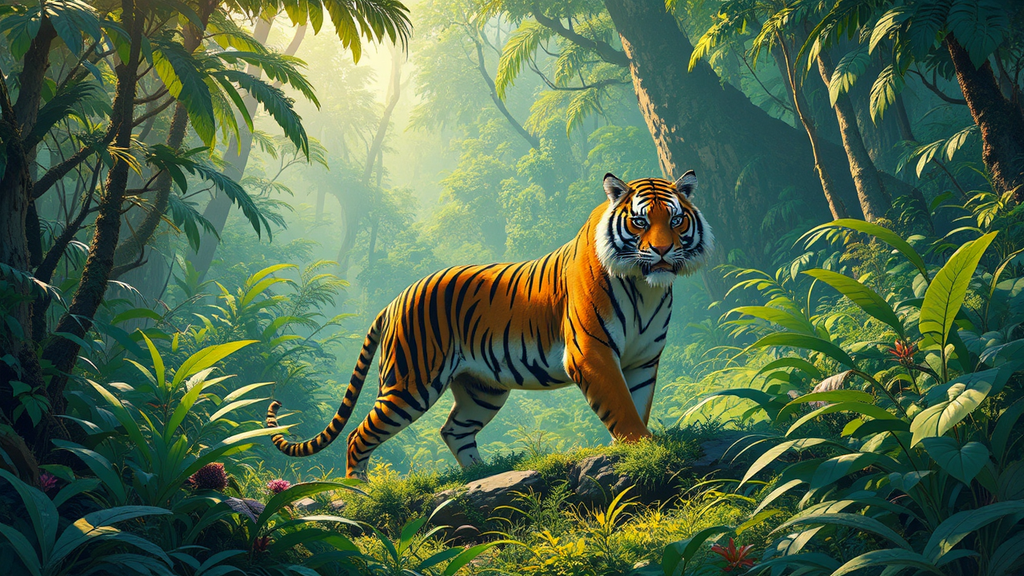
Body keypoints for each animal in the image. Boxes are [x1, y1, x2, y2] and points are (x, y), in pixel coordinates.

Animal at [266, 171, 712, 479]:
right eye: (640, 222)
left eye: (675, 221)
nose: (663, 251)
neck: (646, 287)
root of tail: (394, 299)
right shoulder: (592, 353)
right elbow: (621, 407)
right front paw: (647, 449)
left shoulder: (642, 361)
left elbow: (637, 405)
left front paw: (634, 449)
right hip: (411, 384)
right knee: (359, 436)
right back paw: (360, 491)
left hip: (483, 389)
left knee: (453, 430)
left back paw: (483, 474)